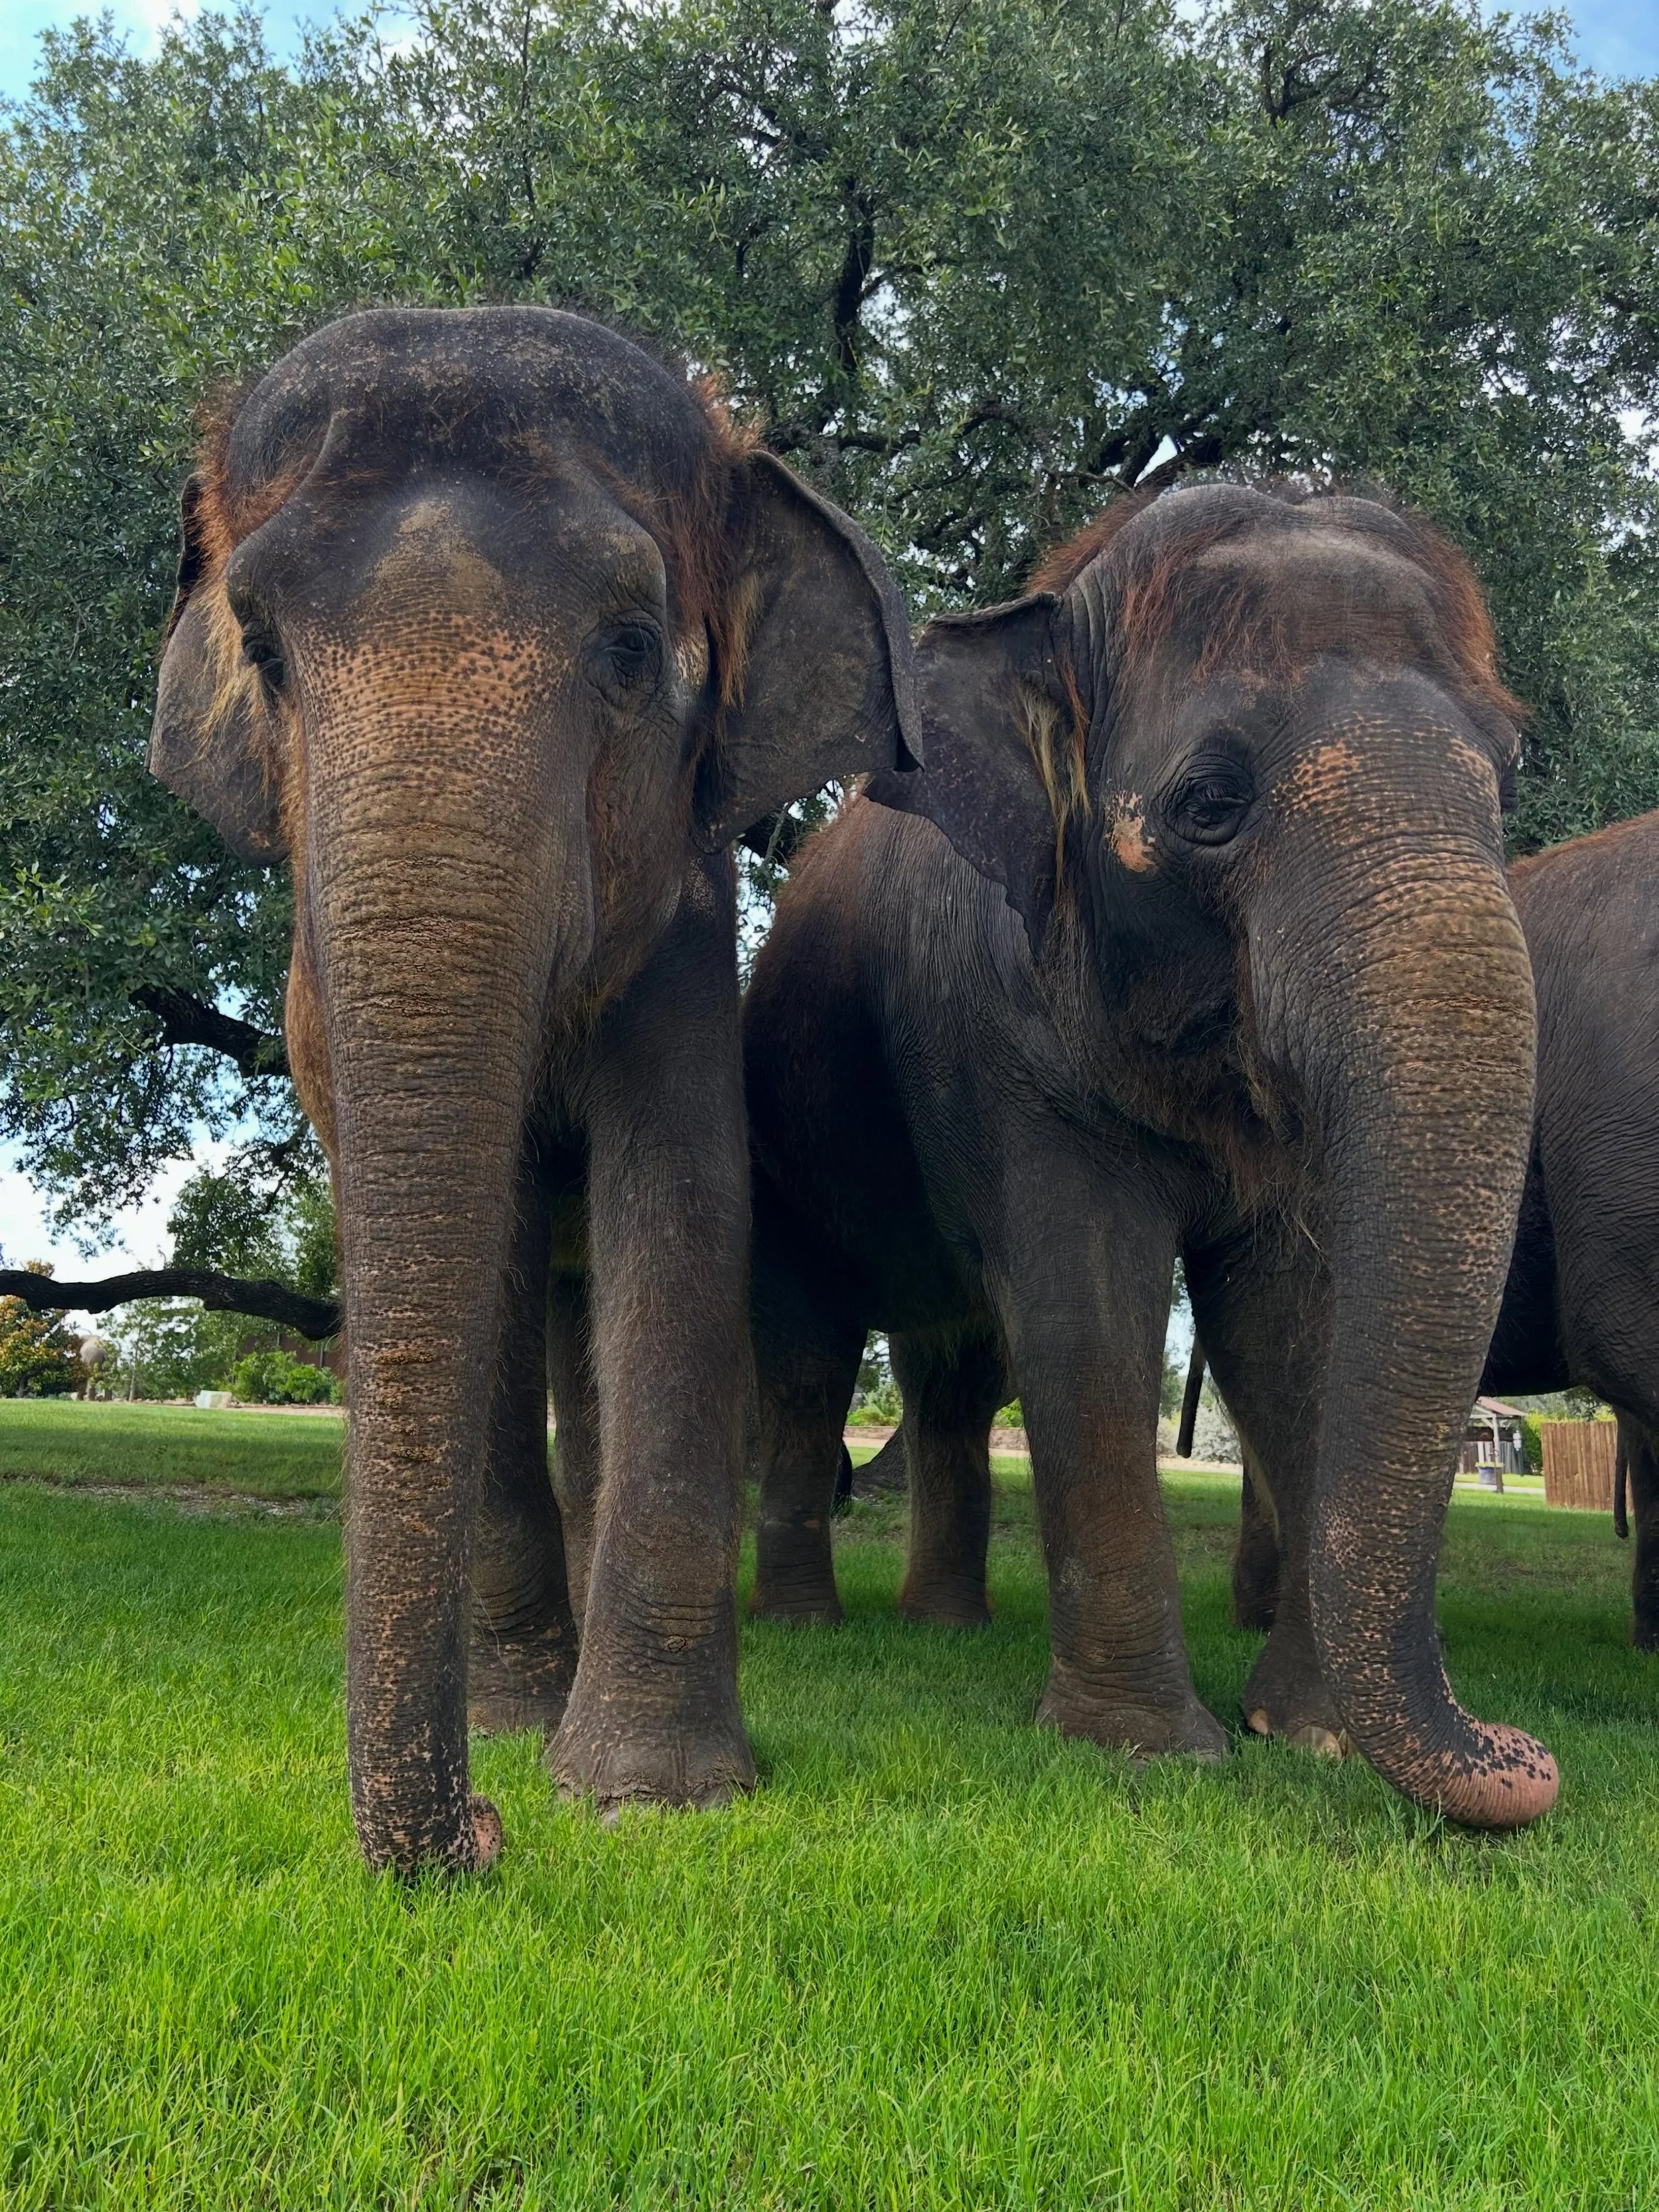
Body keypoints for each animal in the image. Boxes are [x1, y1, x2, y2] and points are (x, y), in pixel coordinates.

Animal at [149, 305, 918, 1874]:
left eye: (630, 647)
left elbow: (678, 1200)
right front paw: (521, 1733)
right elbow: (483, 1241)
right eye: (261, 649)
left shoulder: (689, 912)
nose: (486, 1836)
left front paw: (644, 1794)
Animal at [743, 480, 1559, 1829]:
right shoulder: (1002, 1039)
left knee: (954, 1374)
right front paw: (1150, 1750)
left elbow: (1281, 1322)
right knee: (809, 1360)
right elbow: (1087, 1303)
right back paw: (806, 1626)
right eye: (1209, 803)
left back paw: (947, 1628)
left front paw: (1310, 1737)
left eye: (1504, 775)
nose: (1527, 1754)